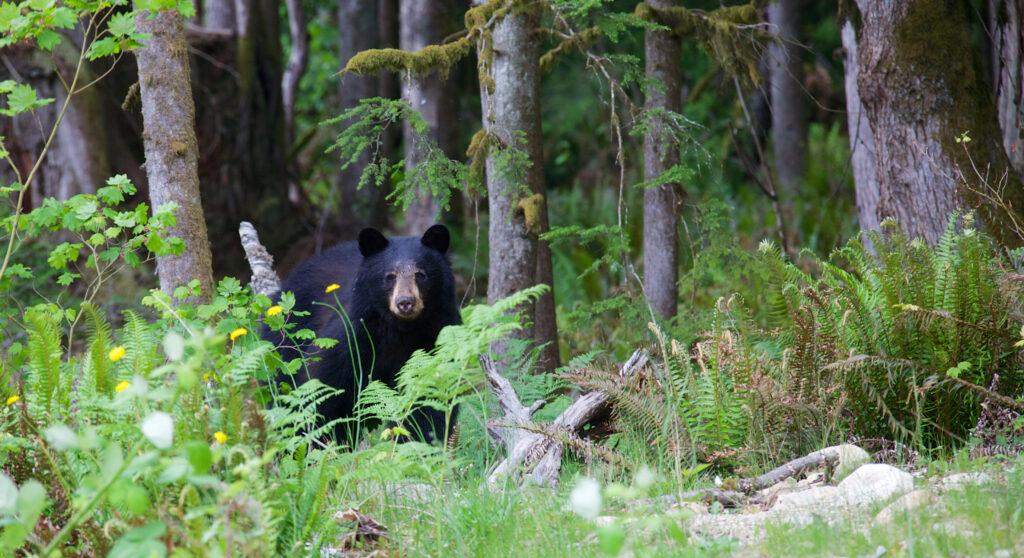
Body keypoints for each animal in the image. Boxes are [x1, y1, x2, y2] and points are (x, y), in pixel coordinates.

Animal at [264, 223, 460, 444]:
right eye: (390, 276)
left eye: (421, 274)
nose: (405, 302)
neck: (399, 330)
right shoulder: (353, 341)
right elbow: (322, 391)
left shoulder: (434, 338)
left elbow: (427, 399)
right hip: (288, 336)